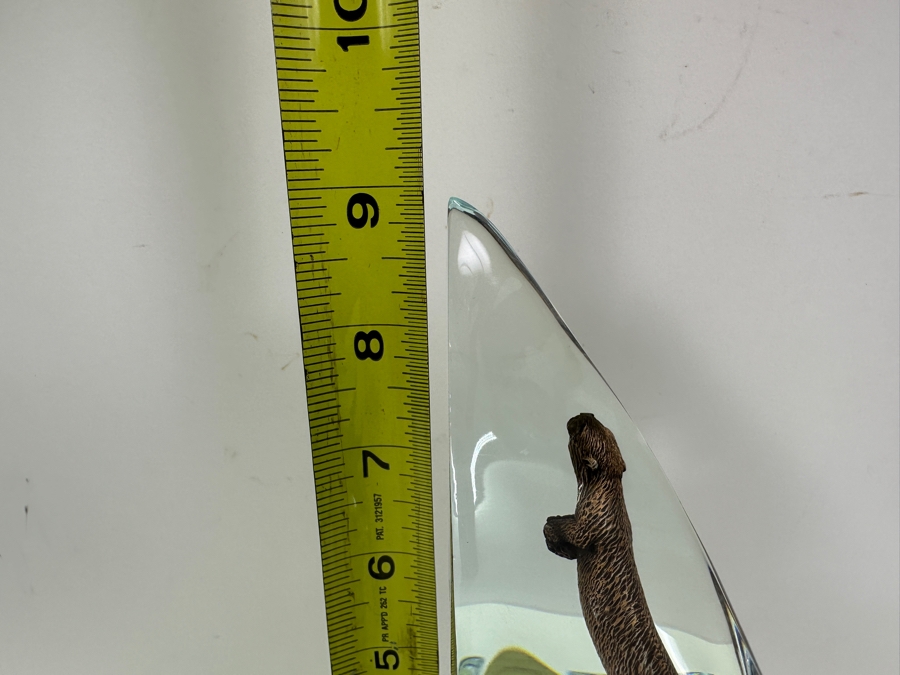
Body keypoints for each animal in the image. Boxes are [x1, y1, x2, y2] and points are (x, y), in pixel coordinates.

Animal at [543, 412, 678, 675]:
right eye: (596, 421)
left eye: (581, 429)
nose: (581, 415)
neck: (607, 488)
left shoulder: (594, 518)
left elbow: (575, 533)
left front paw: (551, 529)